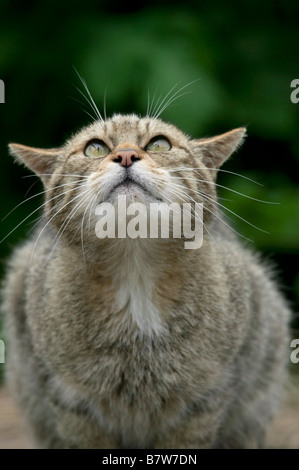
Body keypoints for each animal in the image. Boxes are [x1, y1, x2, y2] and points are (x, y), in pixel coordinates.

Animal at [1, 113, 292, 448]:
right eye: (95, 148)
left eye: (159, 144)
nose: (126, 155)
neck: (135, 273)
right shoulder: (70, 401)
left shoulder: (205, 400)